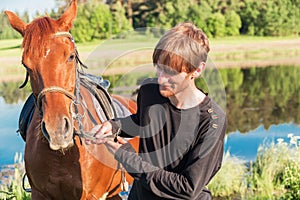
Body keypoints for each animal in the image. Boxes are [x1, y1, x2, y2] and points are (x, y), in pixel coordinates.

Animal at [4, 0, 138, 199]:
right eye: (26, 64)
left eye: (71, 56)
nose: (57, 130)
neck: (62, 154)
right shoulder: (39, 193)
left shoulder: (91, 195)